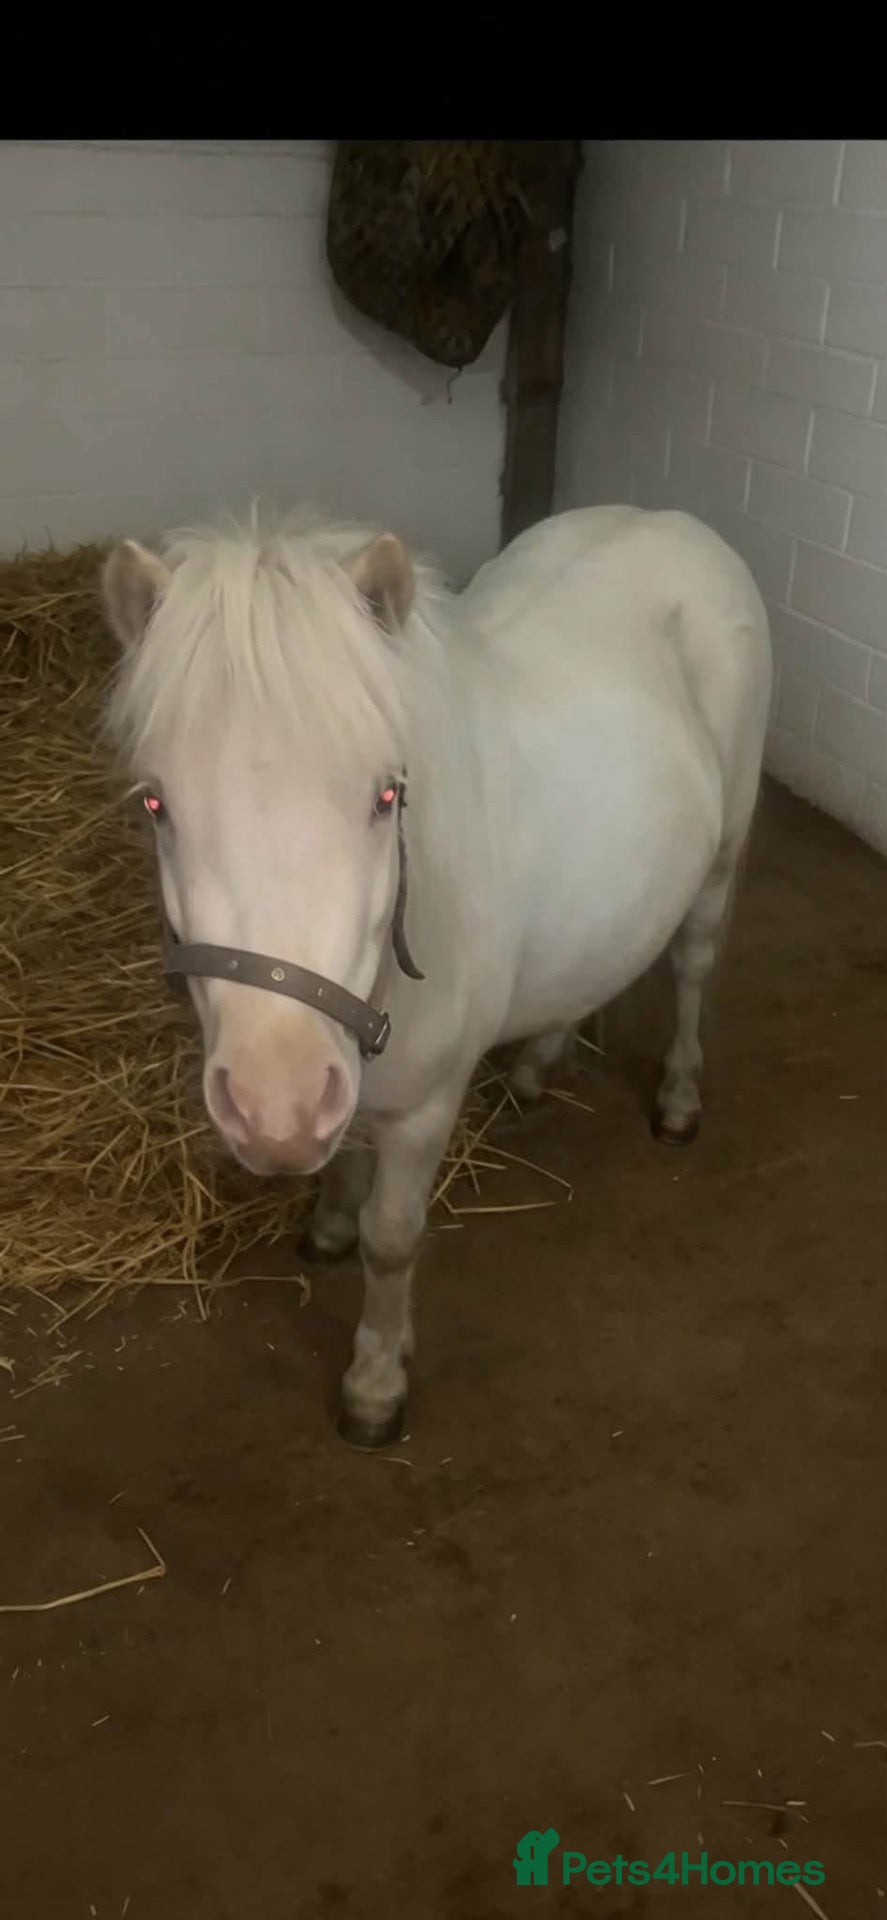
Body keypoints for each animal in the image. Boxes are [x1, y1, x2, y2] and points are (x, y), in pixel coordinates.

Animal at [102, 505, 772, 1448]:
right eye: (157, 804)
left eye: (386, 795)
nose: (274, 1108)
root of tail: (671, 520)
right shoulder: (346, 1076)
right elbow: (344, 1166)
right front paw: (328, 1227)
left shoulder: (424, 1107)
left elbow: (392, 1240)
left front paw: (376, 1382)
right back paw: (538, 1065)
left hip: (718, 861)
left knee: (692, 968)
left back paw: (677, 1098)